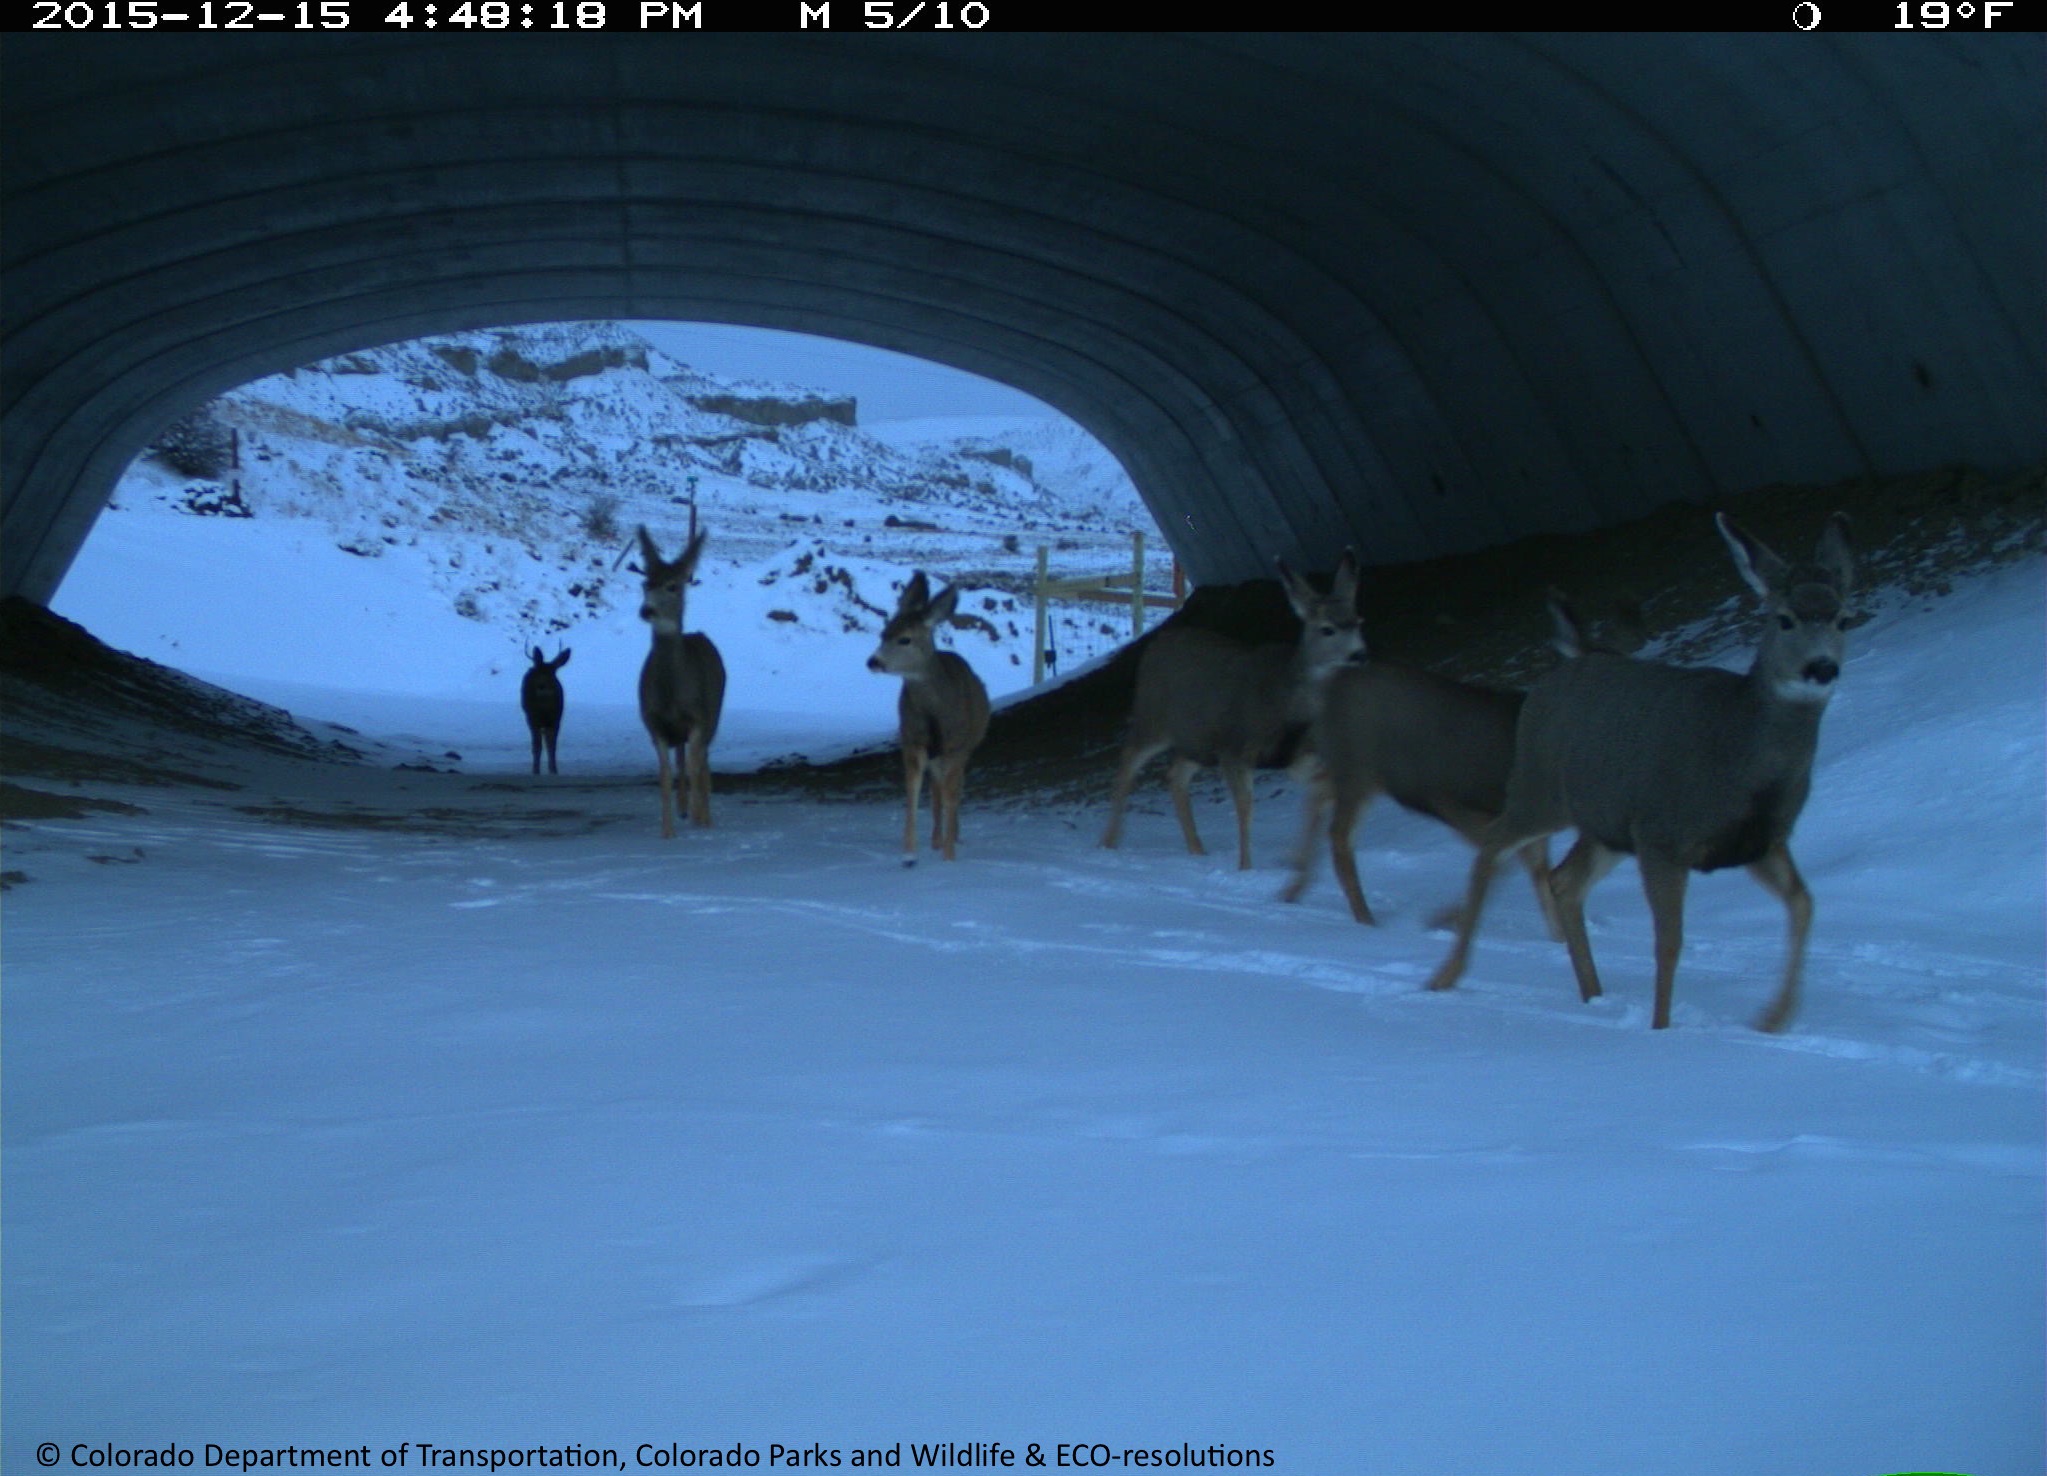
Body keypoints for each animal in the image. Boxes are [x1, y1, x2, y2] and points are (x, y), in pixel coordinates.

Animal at [519, 645, 571, 775]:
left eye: (553, 674)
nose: (543, 687)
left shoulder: (548, 719)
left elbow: (546, 745)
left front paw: (548, 770)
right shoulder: (543, 719)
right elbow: (544, 745)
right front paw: (543, 770)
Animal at [635, 525, 727, 836]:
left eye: (672, 586)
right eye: (645, 584)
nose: (646, 610)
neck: (671, 698)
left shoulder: (699, 717)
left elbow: (696, 765)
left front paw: (703, 823)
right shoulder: (654, 724)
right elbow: (665, 775)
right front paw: (668, 833)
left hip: (714, 715)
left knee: (702, 763)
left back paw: (702, 815)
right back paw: (685, 809)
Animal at [867, 571, 990, 862]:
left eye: (905, 639)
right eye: (883, 633)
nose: (873, 661)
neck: (935, 712)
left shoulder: (957, 745)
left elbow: (952, 795)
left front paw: (949, 856)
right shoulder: (911, 738)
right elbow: (913, 790)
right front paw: (909, 854)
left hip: (967, 745)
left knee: (953, 789)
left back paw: (952, 836)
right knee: (936, 789)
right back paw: (936, 839)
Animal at [1101, 551, 1364, 871]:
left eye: (1358, 621)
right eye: (1327, 628)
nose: (1359, 655)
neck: (1288, 704)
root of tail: (1155, 644)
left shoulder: (1295, 756)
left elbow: (1325, 789)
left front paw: (1303, 858)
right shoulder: (1235, 749)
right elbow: (1245, 809)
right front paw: (1245, 867)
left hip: (1198, 741)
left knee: (1176, 774)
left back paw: (1197, 849)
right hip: (1154, 717)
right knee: (1129, 758)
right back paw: (1109, 841)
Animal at [1423, 511, 1855, 1032]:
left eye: (1842, 618)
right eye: (1784, 618)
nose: (1822, 668)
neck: (1738, 756)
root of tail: (1570, 663)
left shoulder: (1763, 841)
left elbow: (1804, 902)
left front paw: (1772, 1019)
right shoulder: (1662, 834)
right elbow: (1669, 942)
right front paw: (1660, 1030)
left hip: (1605, 824)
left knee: (1565, 879)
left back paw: (1592, 995)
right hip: (1539, 787)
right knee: (1494, 842)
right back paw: (1444, 977)